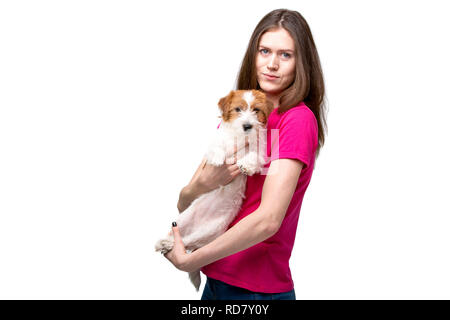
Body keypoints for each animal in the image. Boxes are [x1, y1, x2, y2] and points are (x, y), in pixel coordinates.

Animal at [155, 89, 274, 290]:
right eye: (238, 109)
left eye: (256, 110)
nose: (248, 125)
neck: (239, 138)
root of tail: (196, 226)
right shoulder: (214, 143)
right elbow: (216, 147)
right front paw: (219, 158)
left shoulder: (260, 151)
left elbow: (254, 157)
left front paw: (246, 165)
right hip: (183, 219)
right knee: (175, 235)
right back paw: (163, 242)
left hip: (211, 231)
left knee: (187, 243)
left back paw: (169, 245)